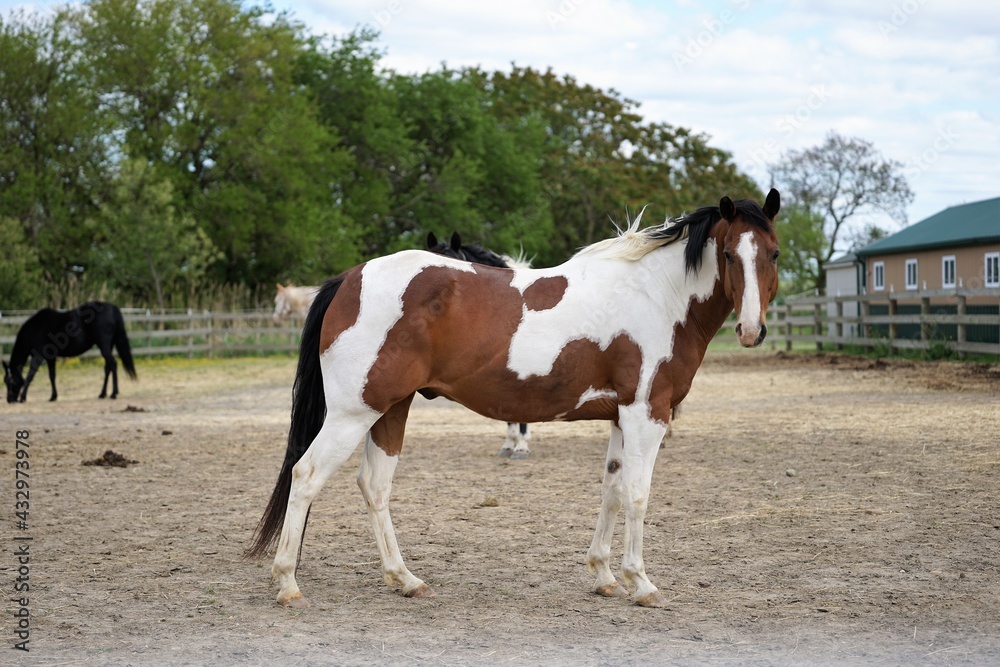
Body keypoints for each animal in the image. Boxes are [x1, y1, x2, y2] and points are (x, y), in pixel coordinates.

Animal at [3, 301, 137, 403]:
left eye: (10, 381)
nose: (10, 400)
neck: (35, 329)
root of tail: (113, 309)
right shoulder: (51, 357)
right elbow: (52, 376)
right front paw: (53, 397)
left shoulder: (38, 356)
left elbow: (30, 376)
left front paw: (22, 398)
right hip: (108, 346)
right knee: (108, 367)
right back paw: (102, 394)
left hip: (104, 346)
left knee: (113, 364)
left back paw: (113, 393)